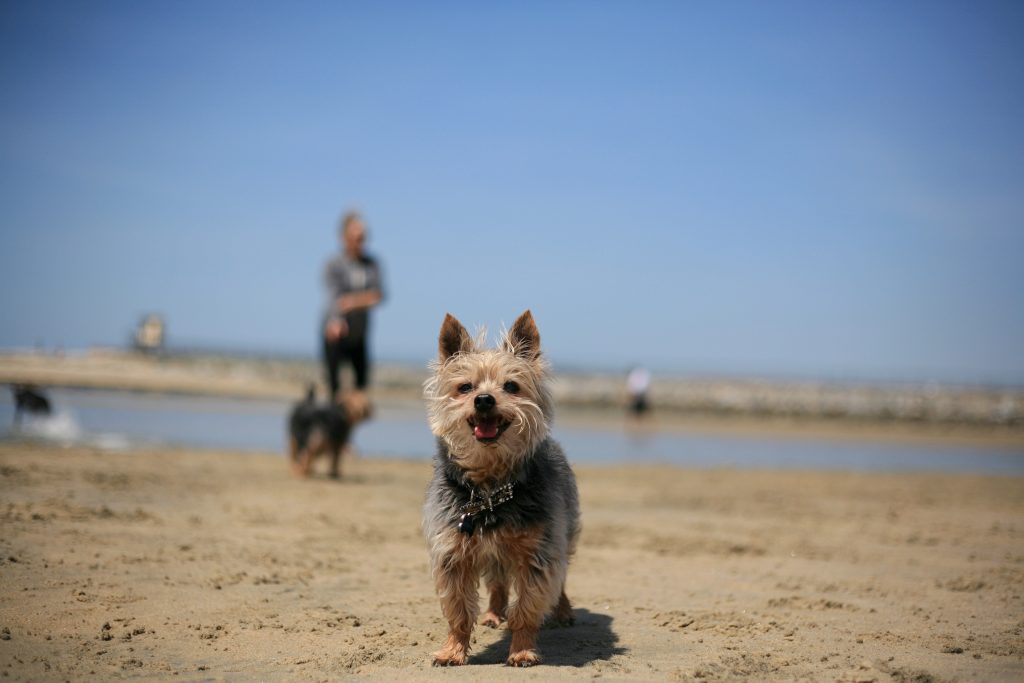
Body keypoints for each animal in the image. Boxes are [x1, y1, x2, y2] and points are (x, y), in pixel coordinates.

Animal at [421, 311, 581, 667]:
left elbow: (527, 607)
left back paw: (563, 610)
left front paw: (521, 650)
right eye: (465, 387)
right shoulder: (454, 554)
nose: (484, 399)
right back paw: (494, 614)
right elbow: (458, 610)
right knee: (496, 583)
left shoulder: (538, 552)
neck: (490, 490)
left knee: (562, 576)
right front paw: (453, 650)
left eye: (511, 386)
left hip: (564, 533)